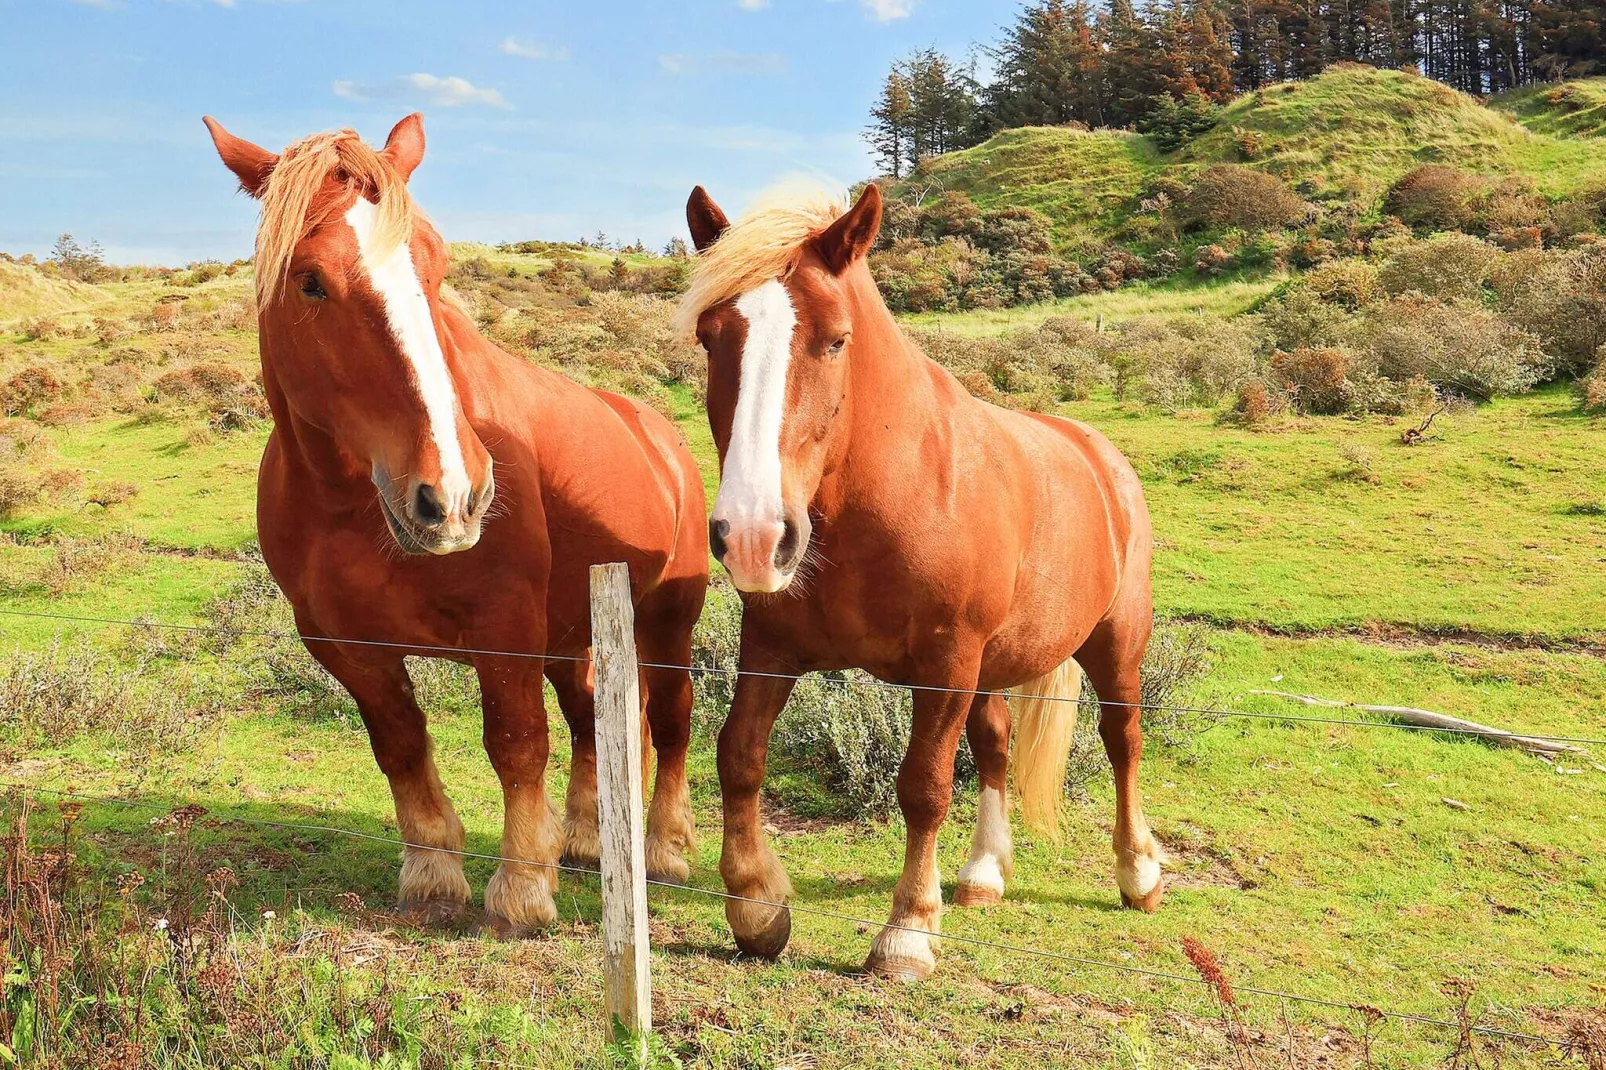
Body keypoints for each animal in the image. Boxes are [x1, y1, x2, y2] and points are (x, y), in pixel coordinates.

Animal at [200, 112, 703, 931]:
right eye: (310, 280)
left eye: (434, 267)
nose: (456, 494)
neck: (348, 507)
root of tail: (657, 432)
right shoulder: (342, 642)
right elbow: (400, 745)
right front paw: (434, 870)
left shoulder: (506, 624)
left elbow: (517, 743)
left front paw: (522, 887)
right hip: (574, 631)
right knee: (595, 720)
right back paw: (588, 839)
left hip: (666, 620)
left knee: (671, 722)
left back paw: (661, 847)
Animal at [680, 181, 1169, 976]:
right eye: (709, 337)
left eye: (836, 339)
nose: (752, 535)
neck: (888, 493)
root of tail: (1099, 454)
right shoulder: (772, 648)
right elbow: (739, 755)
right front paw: (756, 905)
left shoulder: (944, 663)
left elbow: (925, 787)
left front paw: (908, 929)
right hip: (992, 666)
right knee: (997, 742)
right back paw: (982, 874)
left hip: (1114, 641)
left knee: (1122, 737)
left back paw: (1139, 873)